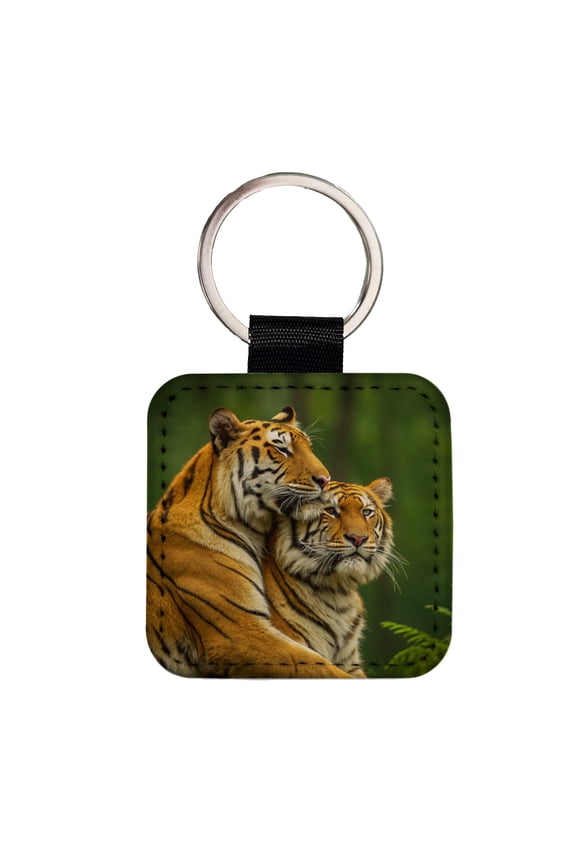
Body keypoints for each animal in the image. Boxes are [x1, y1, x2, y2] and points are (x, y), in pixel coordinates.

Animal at [146, 406, 353, 678]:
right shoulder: (239, 631)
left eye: (309, 448)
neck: (254, 531)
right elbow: (320, 668)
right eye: (282, 449)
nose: (325, 479)